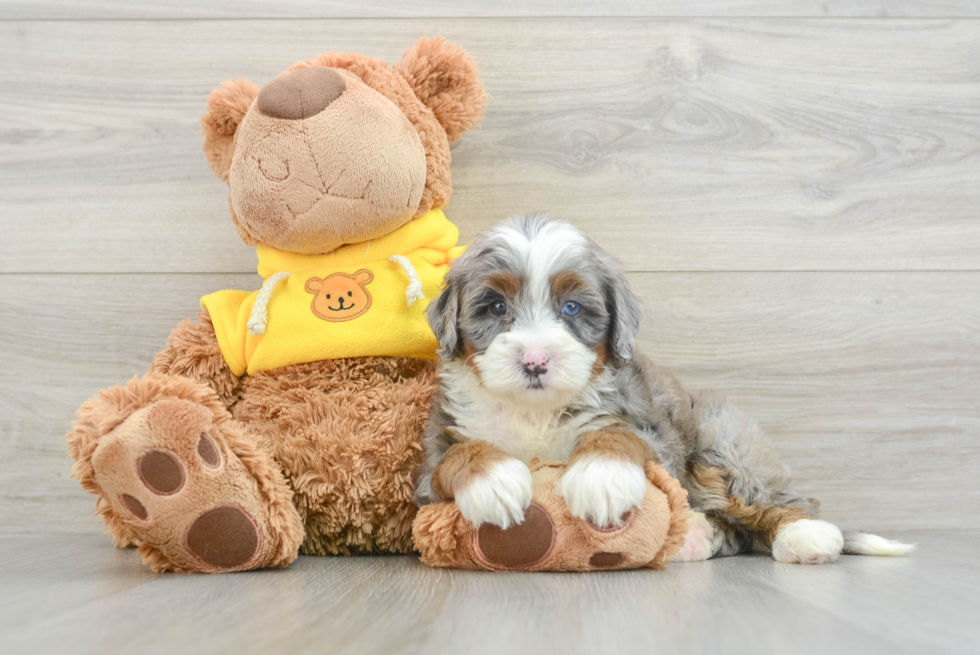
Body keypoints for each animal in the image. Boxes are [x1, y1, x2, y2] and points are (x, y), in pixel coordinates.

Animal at [418, 215, 916, 564]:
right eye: (495, 306)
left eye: (572, 307)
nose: (536, 360)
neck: (534, 412)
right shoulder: (433, 455)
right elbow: (456, 455)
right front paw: (495, 482)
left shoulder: (650, 428)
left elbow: (619, 435)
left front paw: (602, 478)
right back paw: (695, 537)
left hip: (720, 445)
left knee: (774, 501)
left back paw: (806, 534)